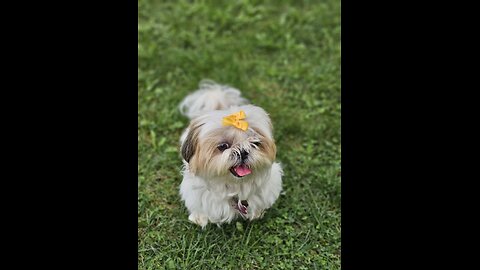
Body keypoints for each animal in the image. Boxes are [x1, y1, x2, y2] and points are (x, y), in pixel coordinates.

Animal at [178, 79, 284, 228]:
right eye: (223, 146)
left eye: (255, 143)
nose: (243, 152)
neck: (233, 186)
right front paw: (200, 218)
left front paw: (257, 213)